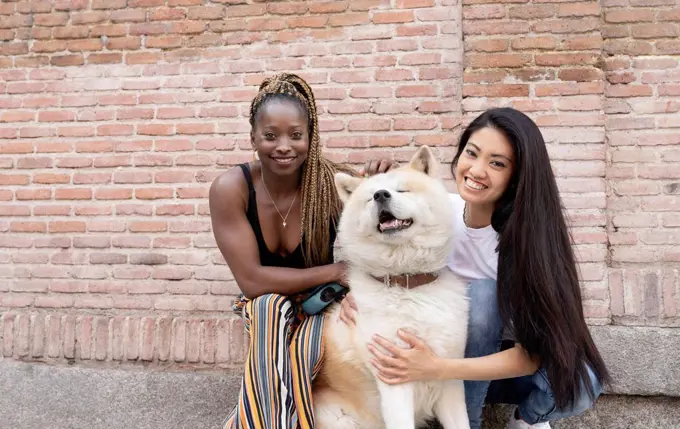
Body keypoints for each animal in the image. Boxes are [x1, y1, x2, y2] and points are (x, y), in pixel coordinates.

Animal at [312, 145, 468, 428]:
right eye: (369, 198)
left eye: (402, 190)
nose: (380, 195)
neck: (406, 282)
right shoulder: (395, 381)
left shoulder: (449, 374)